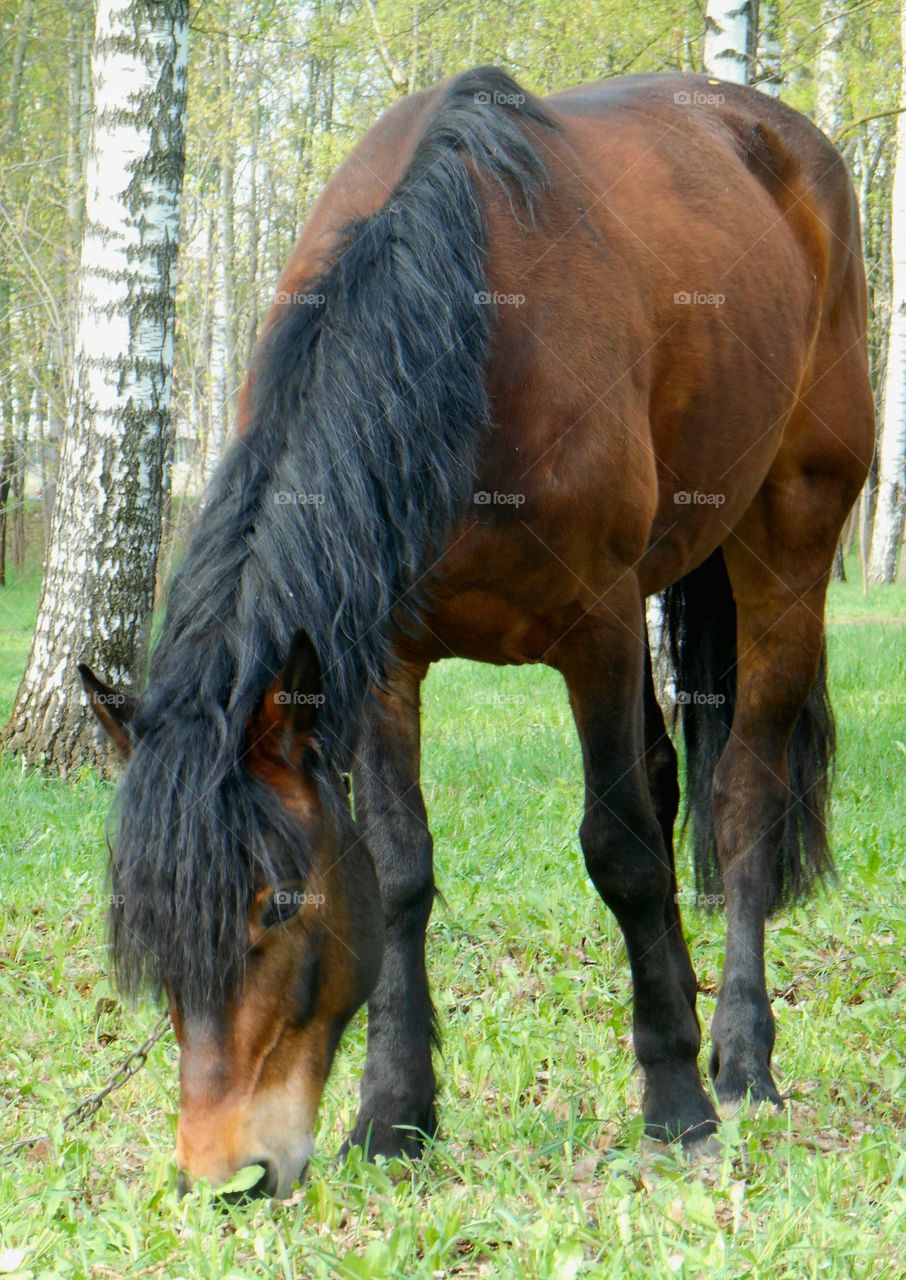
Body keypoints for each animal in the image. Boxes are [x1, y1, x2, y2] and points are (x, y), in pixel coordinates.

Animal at [81, 67, 875, 1198]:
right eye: (147, 934)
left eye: (279, 906)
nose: (225, 1177)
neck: (466, 346)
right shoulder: (379, 663)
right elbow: (401, 866)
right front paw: (393, 1114)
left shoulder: (596, 629)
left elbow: (622, 850)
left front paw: (677, 1108)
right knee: (668, 776)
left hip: (787, 545)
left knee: (741, 797)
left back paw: (741, 1061)